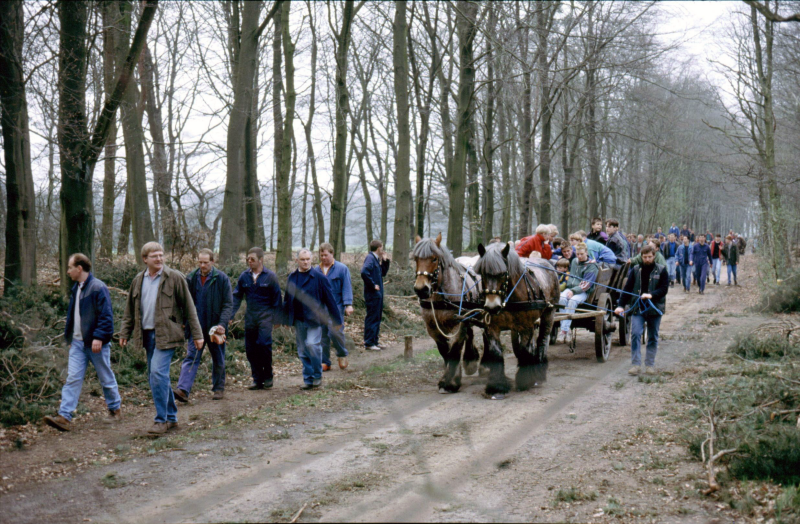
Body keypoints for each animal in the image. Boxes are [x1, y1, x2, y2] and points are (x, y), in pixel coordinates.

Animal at [416, 234, 478, 392]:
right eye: (416, 258)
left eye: (434, 259)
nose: (421, 289)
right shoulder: (432, 327)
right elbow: (444, 351)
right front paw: (446, 378)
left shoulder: (458, 323)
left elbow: (455, 350)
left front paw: (452, 382)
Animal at [476, 242, 556, 398]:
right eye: (482, 273)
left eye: (502, 273)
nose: (492, 306)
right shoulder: (491, 327)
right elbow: (497, 354)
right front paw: (497, 386)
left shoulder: (526, 326)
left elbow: (524, 349)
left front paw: (525, 380)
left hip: (549, 313)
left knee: (542, 340)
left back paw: (539, 371)